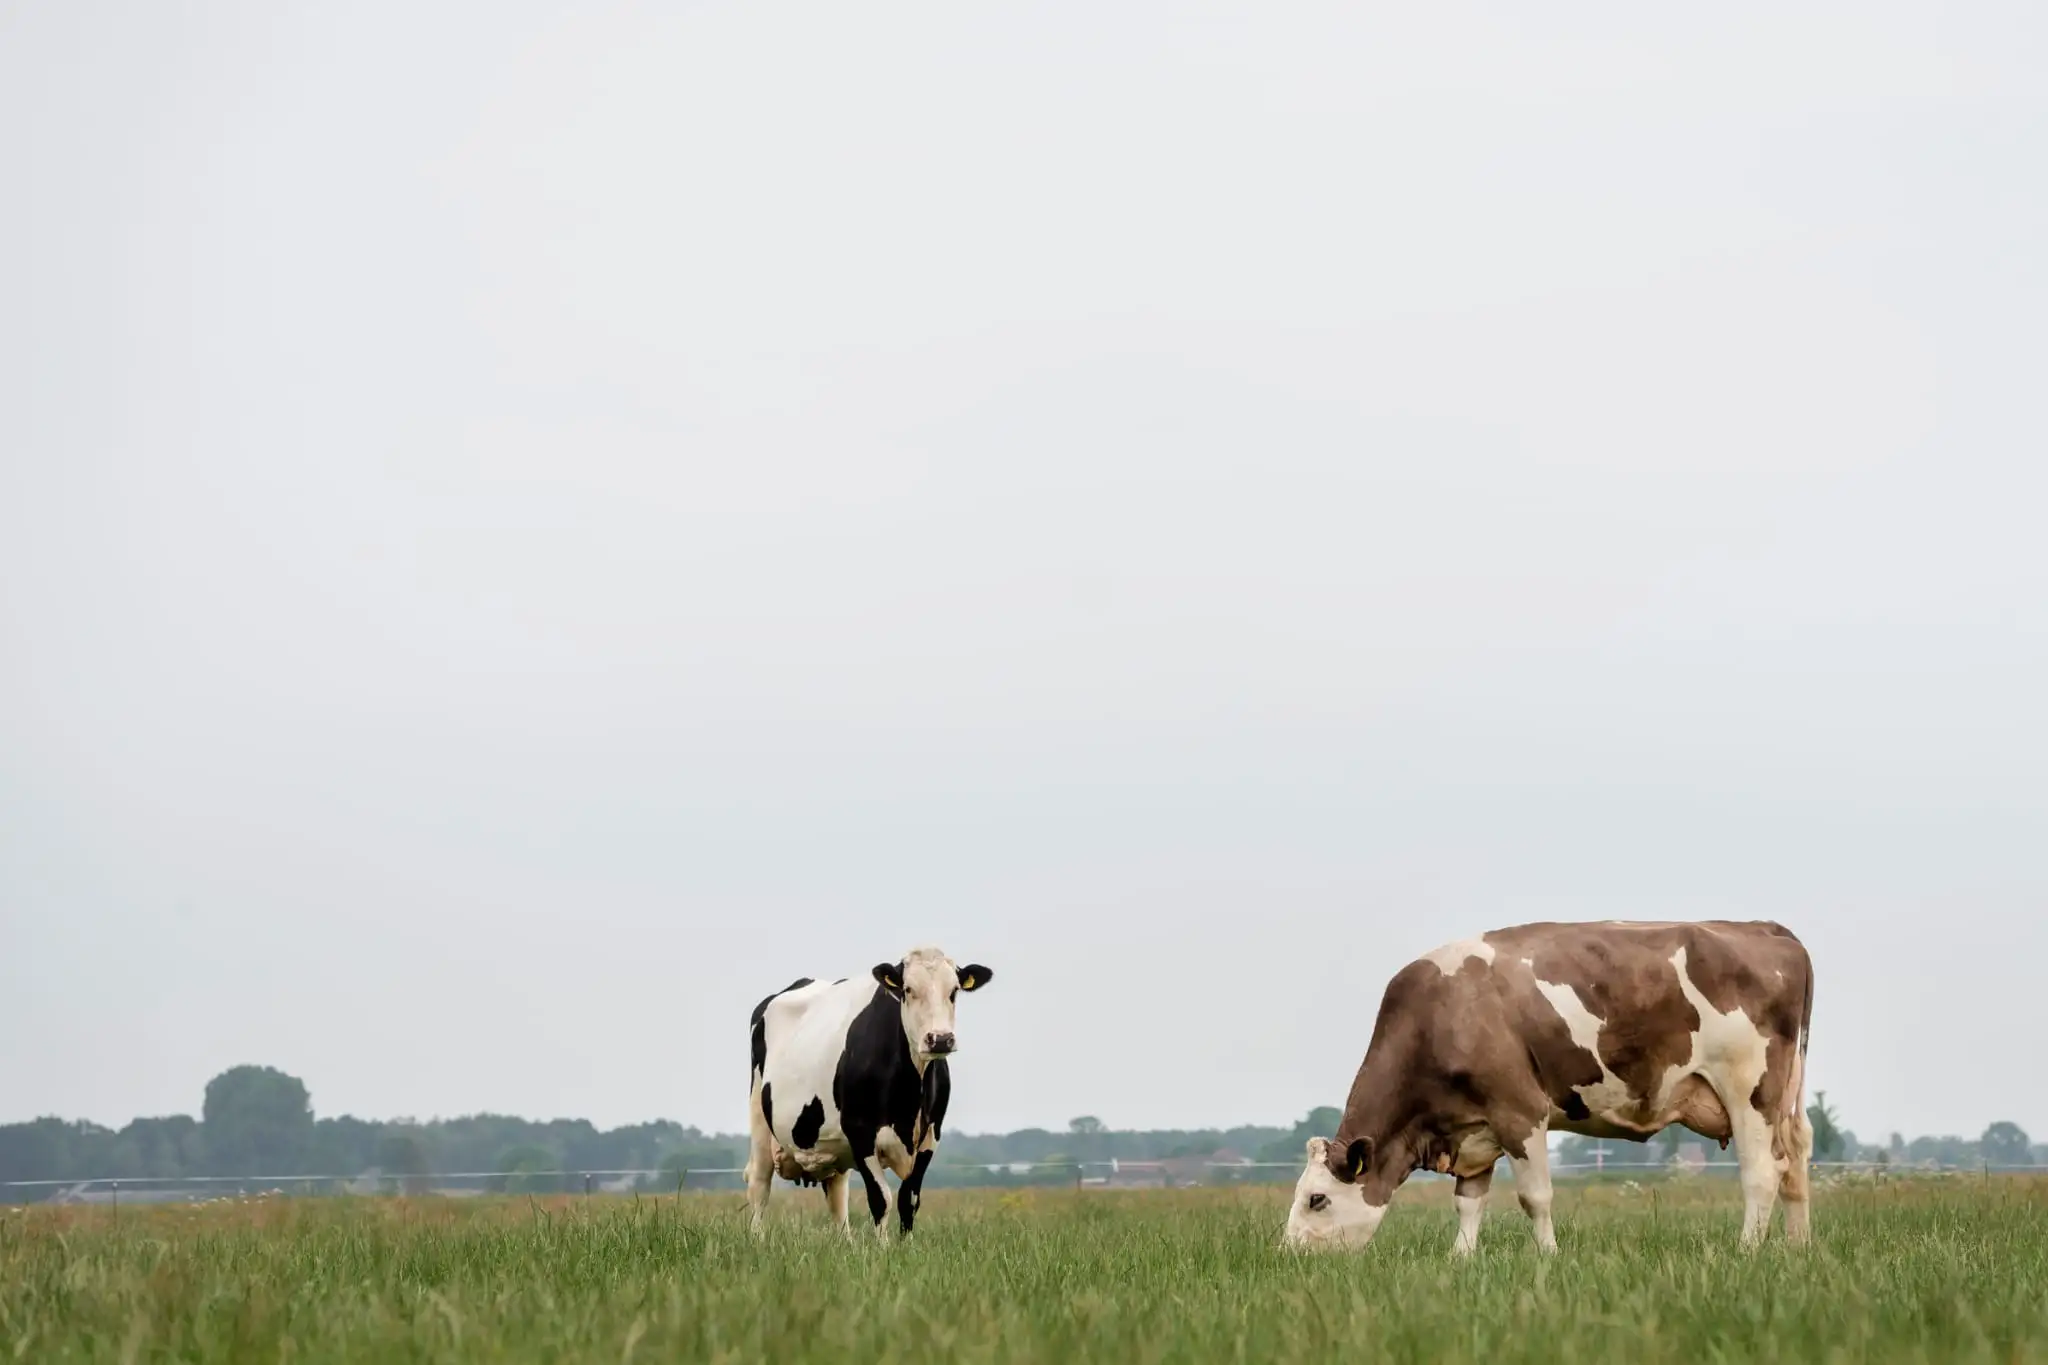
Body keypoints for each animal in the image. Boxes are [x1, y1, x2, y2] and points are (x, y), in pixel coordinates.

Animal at [745, 946, 993, 1237]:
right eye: (908, 989)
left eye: (953, 990)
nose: (940, 1039)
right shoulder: (859, 1131)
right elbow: (881, 1199)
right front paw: (883, 1247)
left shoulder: (932, 1134)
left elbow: (909, 1200)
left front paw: (905, 1246)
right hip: (760, 1117)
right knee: (759, 1184)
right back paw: (757, 1240)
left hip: (832, 1147)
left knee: (837, 1194)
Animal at [1283, 919, 1813, 1254]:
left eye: (1317, 1199)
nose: (1288, 1253)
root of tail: (1763, 928)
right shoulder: (1472, 1125)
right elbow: (1468, 1201)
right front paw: (1460, 1260)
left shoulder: (1519, 1110)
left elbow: (1534, 1196)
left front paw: (1548, 1256)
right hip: (1785, 1098)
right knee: (1795, 1164)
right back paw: (1796, 1248)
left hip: (1750, 1089)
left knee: (1762, 1173)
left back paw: (1748, 1250)